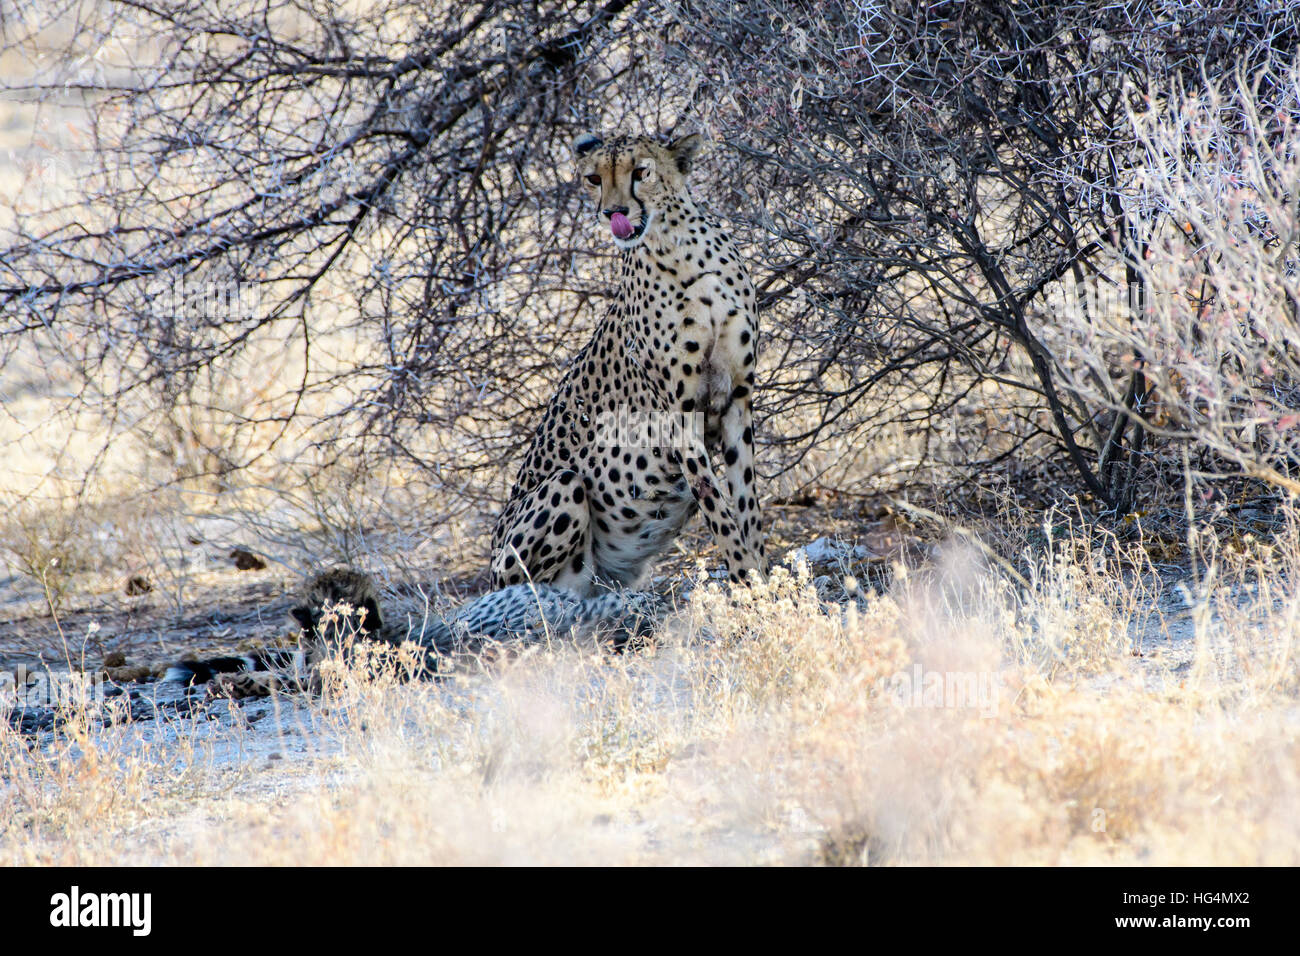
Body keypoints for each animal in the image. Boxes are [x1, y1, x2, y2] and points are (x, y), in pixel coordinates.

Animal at [491, 132, 764, 598]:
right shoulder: (678, 414)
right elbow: (717, 507)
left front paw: (776, 582)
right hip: (561, 487)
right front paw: (751, 586)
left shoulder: (737, 400)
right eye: (593, 178)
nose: (612, 212)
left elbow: (747, 507)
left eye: (641, 172)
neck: (680, 249)